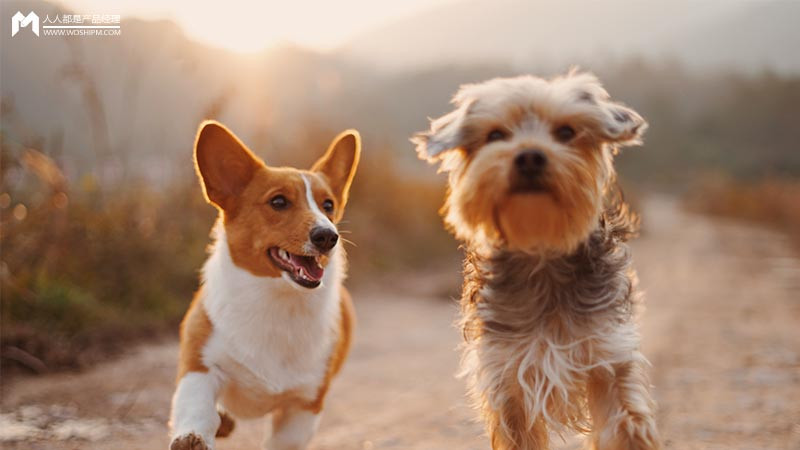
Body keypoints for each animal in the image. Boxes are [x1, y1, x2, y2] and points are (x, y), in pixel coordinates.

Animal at [170, 120, 360, 450]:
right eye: (278, 202)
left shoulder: (304, 405)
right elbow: (197, 408)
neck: (276, 300)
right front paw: (191, 438)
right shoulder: (200, 365)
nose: (328, 236)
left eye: (328, 205)